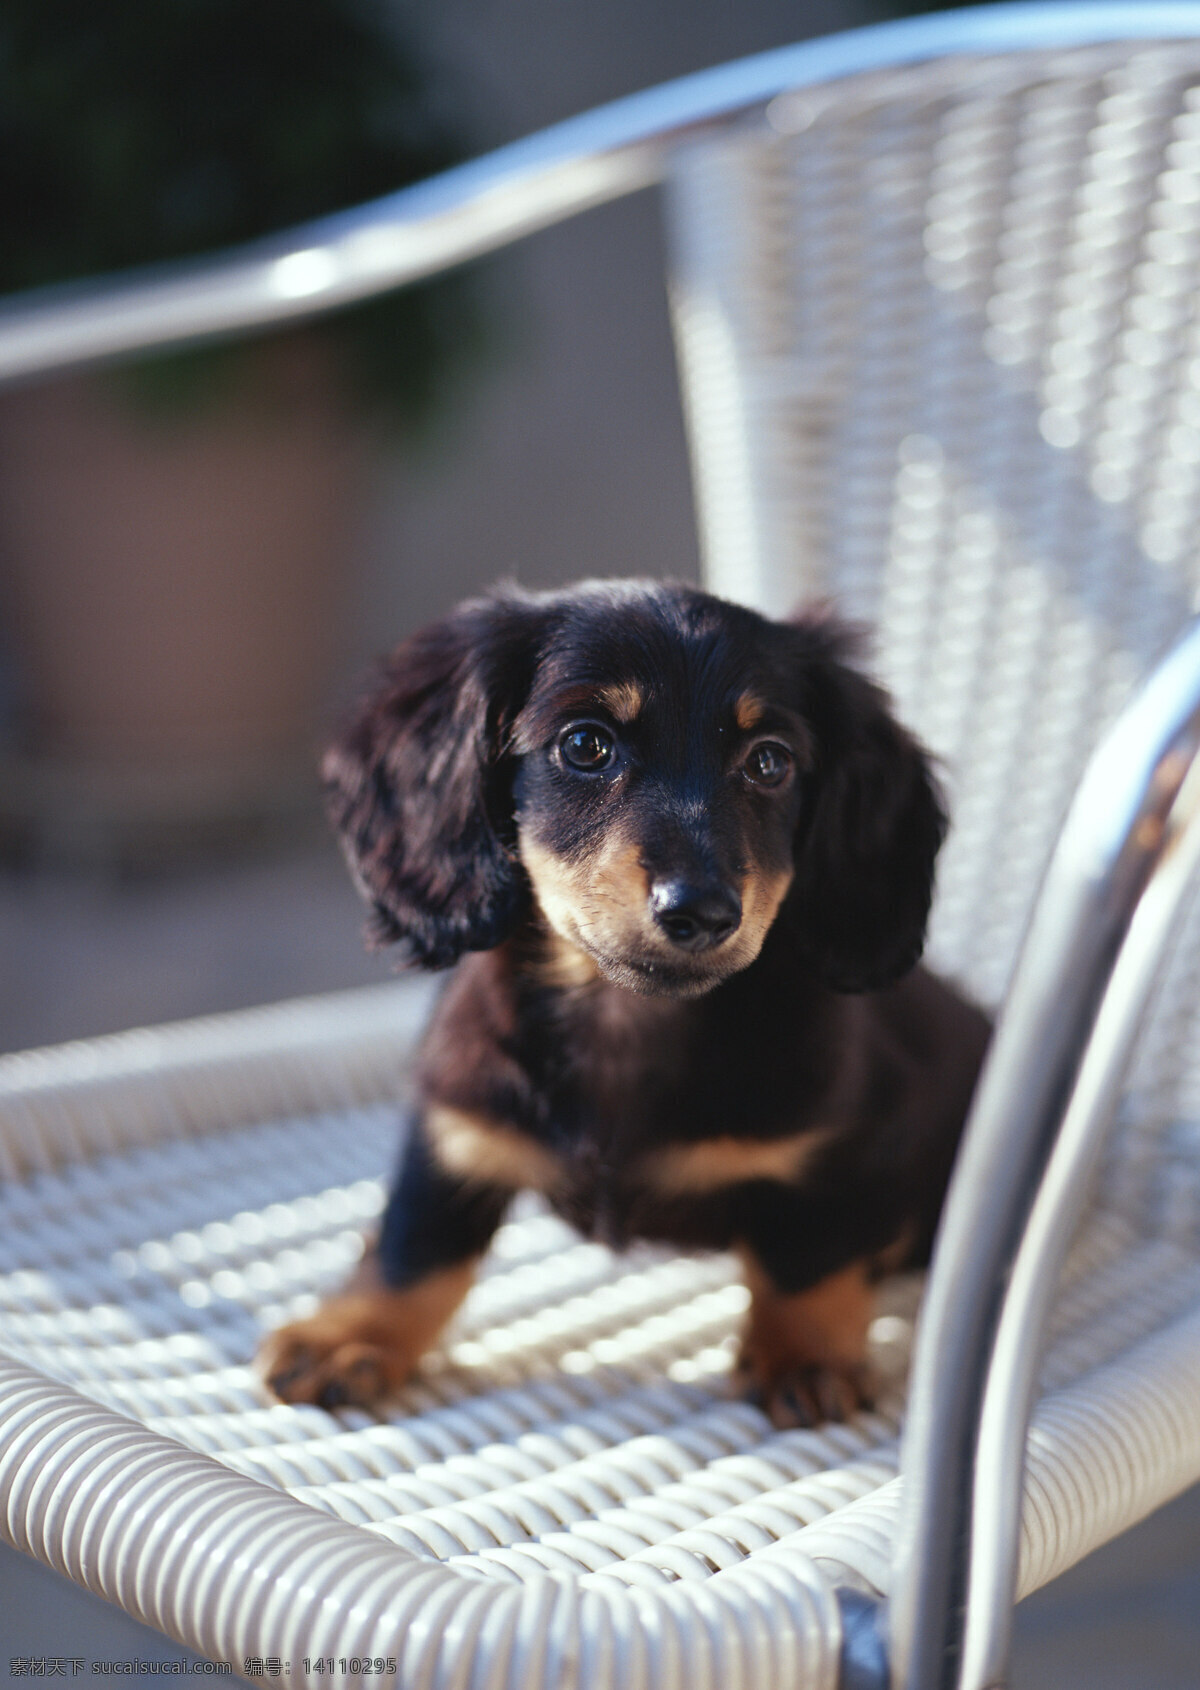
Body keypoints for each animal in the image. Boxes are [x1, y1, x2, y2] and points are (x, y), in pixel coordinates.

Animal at [258, 581, 993, 1426]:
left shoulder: (844, 1148)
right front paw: (352, 1334)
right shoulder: (454, 1121)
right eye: (586, 744)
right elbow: (416, 1240)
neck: (622, 1017)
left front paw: (806, 1355)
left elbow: (806, 1258)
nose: (702, 912)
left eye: (770, 761)